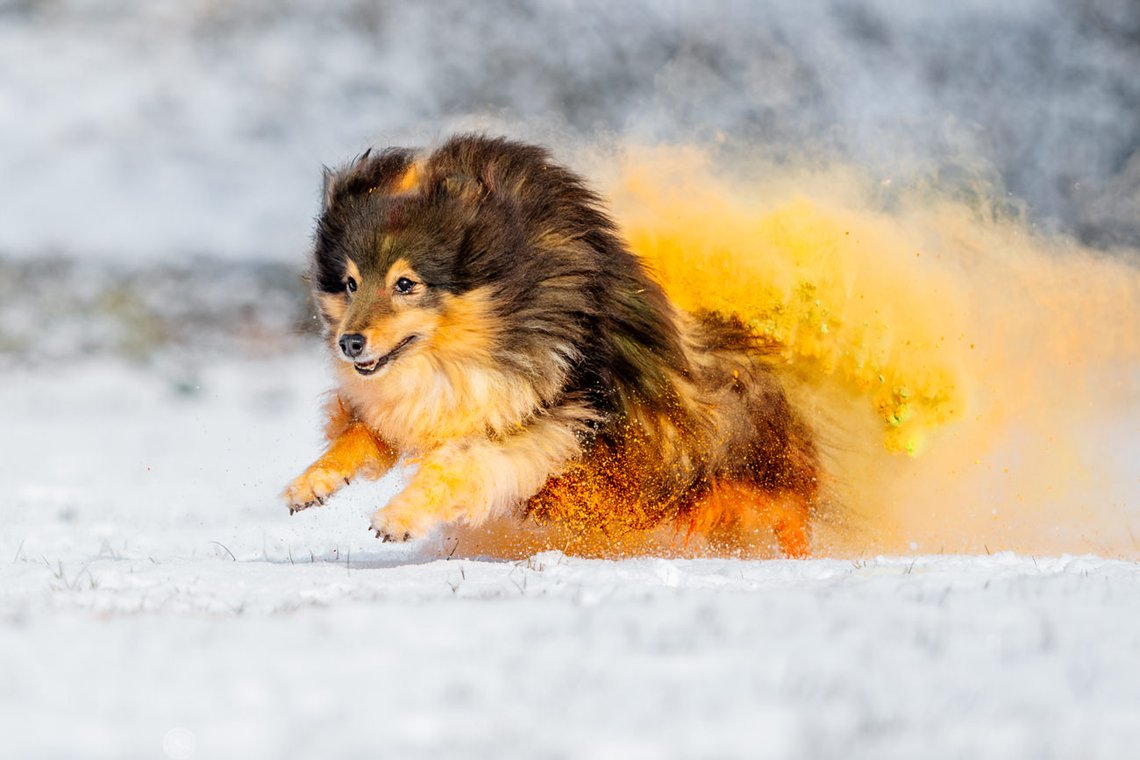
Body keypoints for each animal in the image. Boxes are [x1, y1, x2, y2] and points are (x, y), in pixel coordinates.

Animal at [283, 133, 820, 556]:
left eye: (406, 284)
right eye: (350, 283)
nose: (350, 343)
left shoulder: (552, 415)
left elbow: (456, 462)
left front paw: (397, 518)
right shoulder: (429, 400)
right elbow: (359, 435)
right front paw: (309, 485)